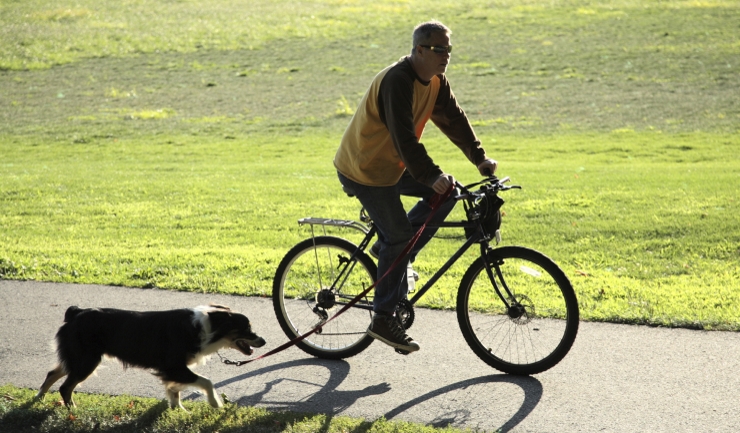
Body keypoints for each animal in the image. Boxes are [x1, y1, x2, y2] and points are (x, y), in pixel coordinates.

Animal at [35, 304, 266, 408]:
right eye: (246, 328)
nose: (263, 341)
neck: (206, 327)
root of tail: (76, 312)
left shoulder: (173, 370)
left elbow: (174, 390)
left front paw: (178, 410)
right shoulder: (174, 366)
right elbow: (207, 382)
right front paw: (215, 403)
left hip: (77, 357)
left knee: (52, 373)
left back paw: (38, 398)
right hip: (87, 360)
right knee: (66, 386)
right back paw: (72, 410)